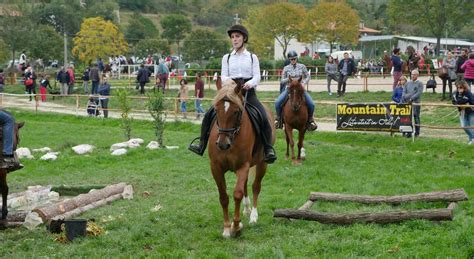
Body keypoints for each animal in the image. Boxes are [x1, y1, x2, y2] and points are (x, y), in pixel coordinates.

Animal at [209, 80, 276, 239]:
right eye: (216, 109)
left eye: (236, 111)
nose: (223, 144)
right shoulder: (216, 167)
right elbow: (223, 197)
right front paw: (227, 228)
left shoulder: (243, 166)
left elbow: (237, 194)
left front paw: (236, 227)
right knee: (245, 185)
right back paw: (246, 209)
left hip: (262, 164)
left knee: (255, 186)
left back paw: (253, 216)